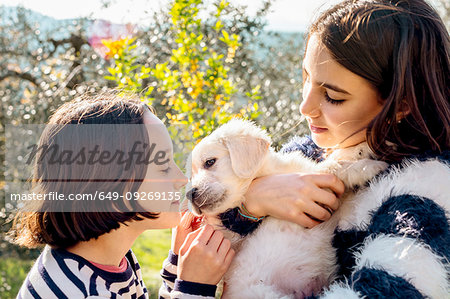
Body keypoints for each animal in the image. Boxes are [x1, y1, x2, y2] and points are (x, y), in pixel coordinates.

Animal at [186, 120, 386, 299]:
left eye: (210, 162)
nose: (189, 194)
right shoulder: (313, 182)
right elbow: (331, 166)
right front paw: (368, 167)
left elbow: (335, 158)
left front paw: (363, 146)